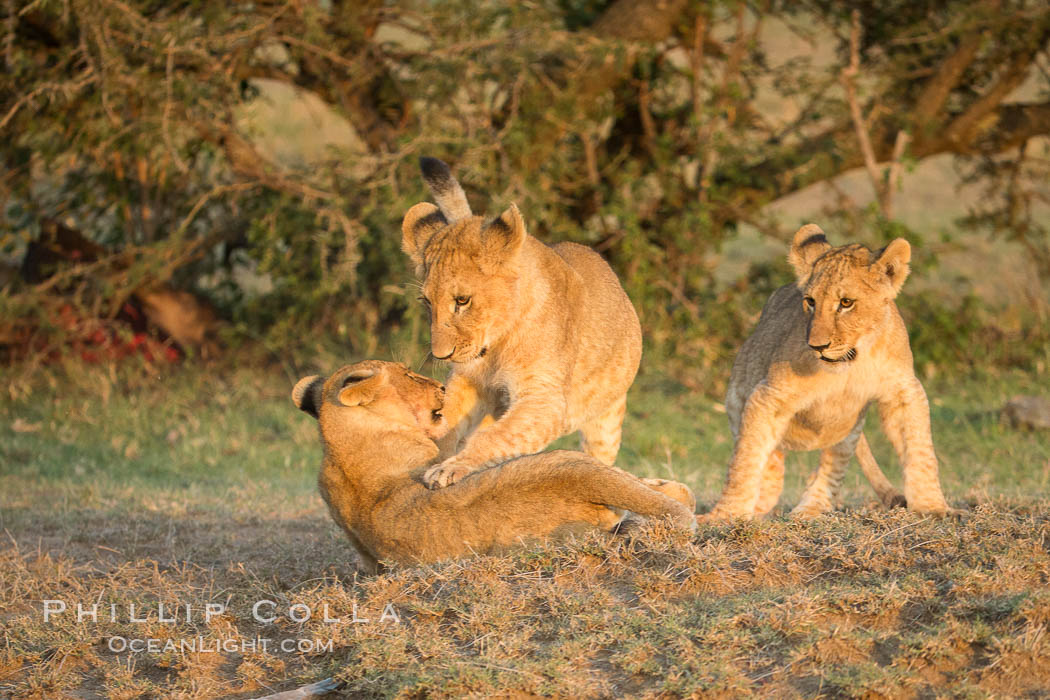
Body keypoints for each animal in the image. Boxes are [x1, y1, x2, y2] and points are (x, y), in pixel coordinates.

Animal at [401, 157, 643, 489]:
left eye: (462, 300)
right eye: (426, 302)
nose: (441, 355)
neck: (496, 345)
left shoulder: (546, 401)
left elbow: (496, 437)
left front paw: (450, 468)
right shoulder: (466, 381)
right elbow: (447, 418)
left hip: (606, 420)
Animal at [702, 224, 950, 520]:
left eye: (846, 302)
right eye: (810, 301)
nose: (817, 346)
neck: (853, 362)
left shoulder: (903, 391)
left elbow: (920, 452)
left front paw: (932, 507)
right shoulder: (768, 396)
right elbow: (745, 458)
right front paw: (727, 514)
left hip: (848, 430)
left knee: (829, 470)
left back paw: (809, 510)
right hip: (738, 400)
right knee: (771, 467)